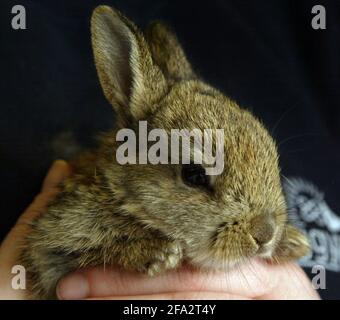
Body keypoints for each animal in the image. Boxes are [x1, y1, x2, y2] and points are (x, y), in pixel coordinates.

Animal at [19, 5, 310, 300]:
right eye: (194, 175)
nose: (265, 234)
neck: (122, 198)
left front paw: (293, 242)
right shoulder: (55, 243)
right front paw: (157, 254)